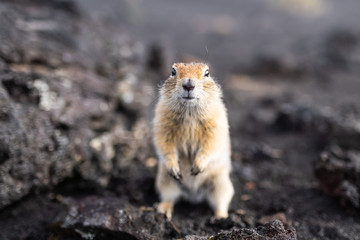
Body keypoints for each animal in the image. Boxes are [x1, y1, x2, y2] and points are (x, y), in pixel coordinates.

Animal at [153, 61, 235, 219]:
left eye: (207, 73)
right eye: (173, 71)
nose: (189, 85)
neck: (189, 111)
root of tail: (193, 196)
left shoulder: (216, 123)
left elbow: (212, 143)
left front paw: (198, 165)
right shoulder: (163, 121)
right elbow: (164, 143)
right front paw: (174, 166)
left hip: (220, 183)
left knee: (221, 200)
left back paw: (220, 217)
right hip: (165, 180)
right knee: (169, 197)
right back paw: (163, 210)